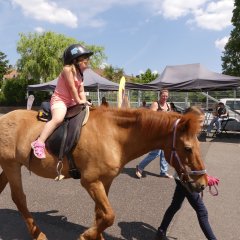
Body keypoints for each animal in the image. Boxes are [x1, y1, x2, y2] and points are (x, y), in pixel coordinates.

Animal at [0, 108, 206, 240]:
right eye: (188, 148)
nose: (202, 183)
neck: (113, 135)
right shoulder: (90, 181)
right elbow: (109, 216)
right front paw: (86, 236)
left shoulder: (105, 181)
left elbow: (101, 215)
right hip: (12, 165)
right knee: (19, 198)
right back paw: (38, 234)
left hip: (9, 166)